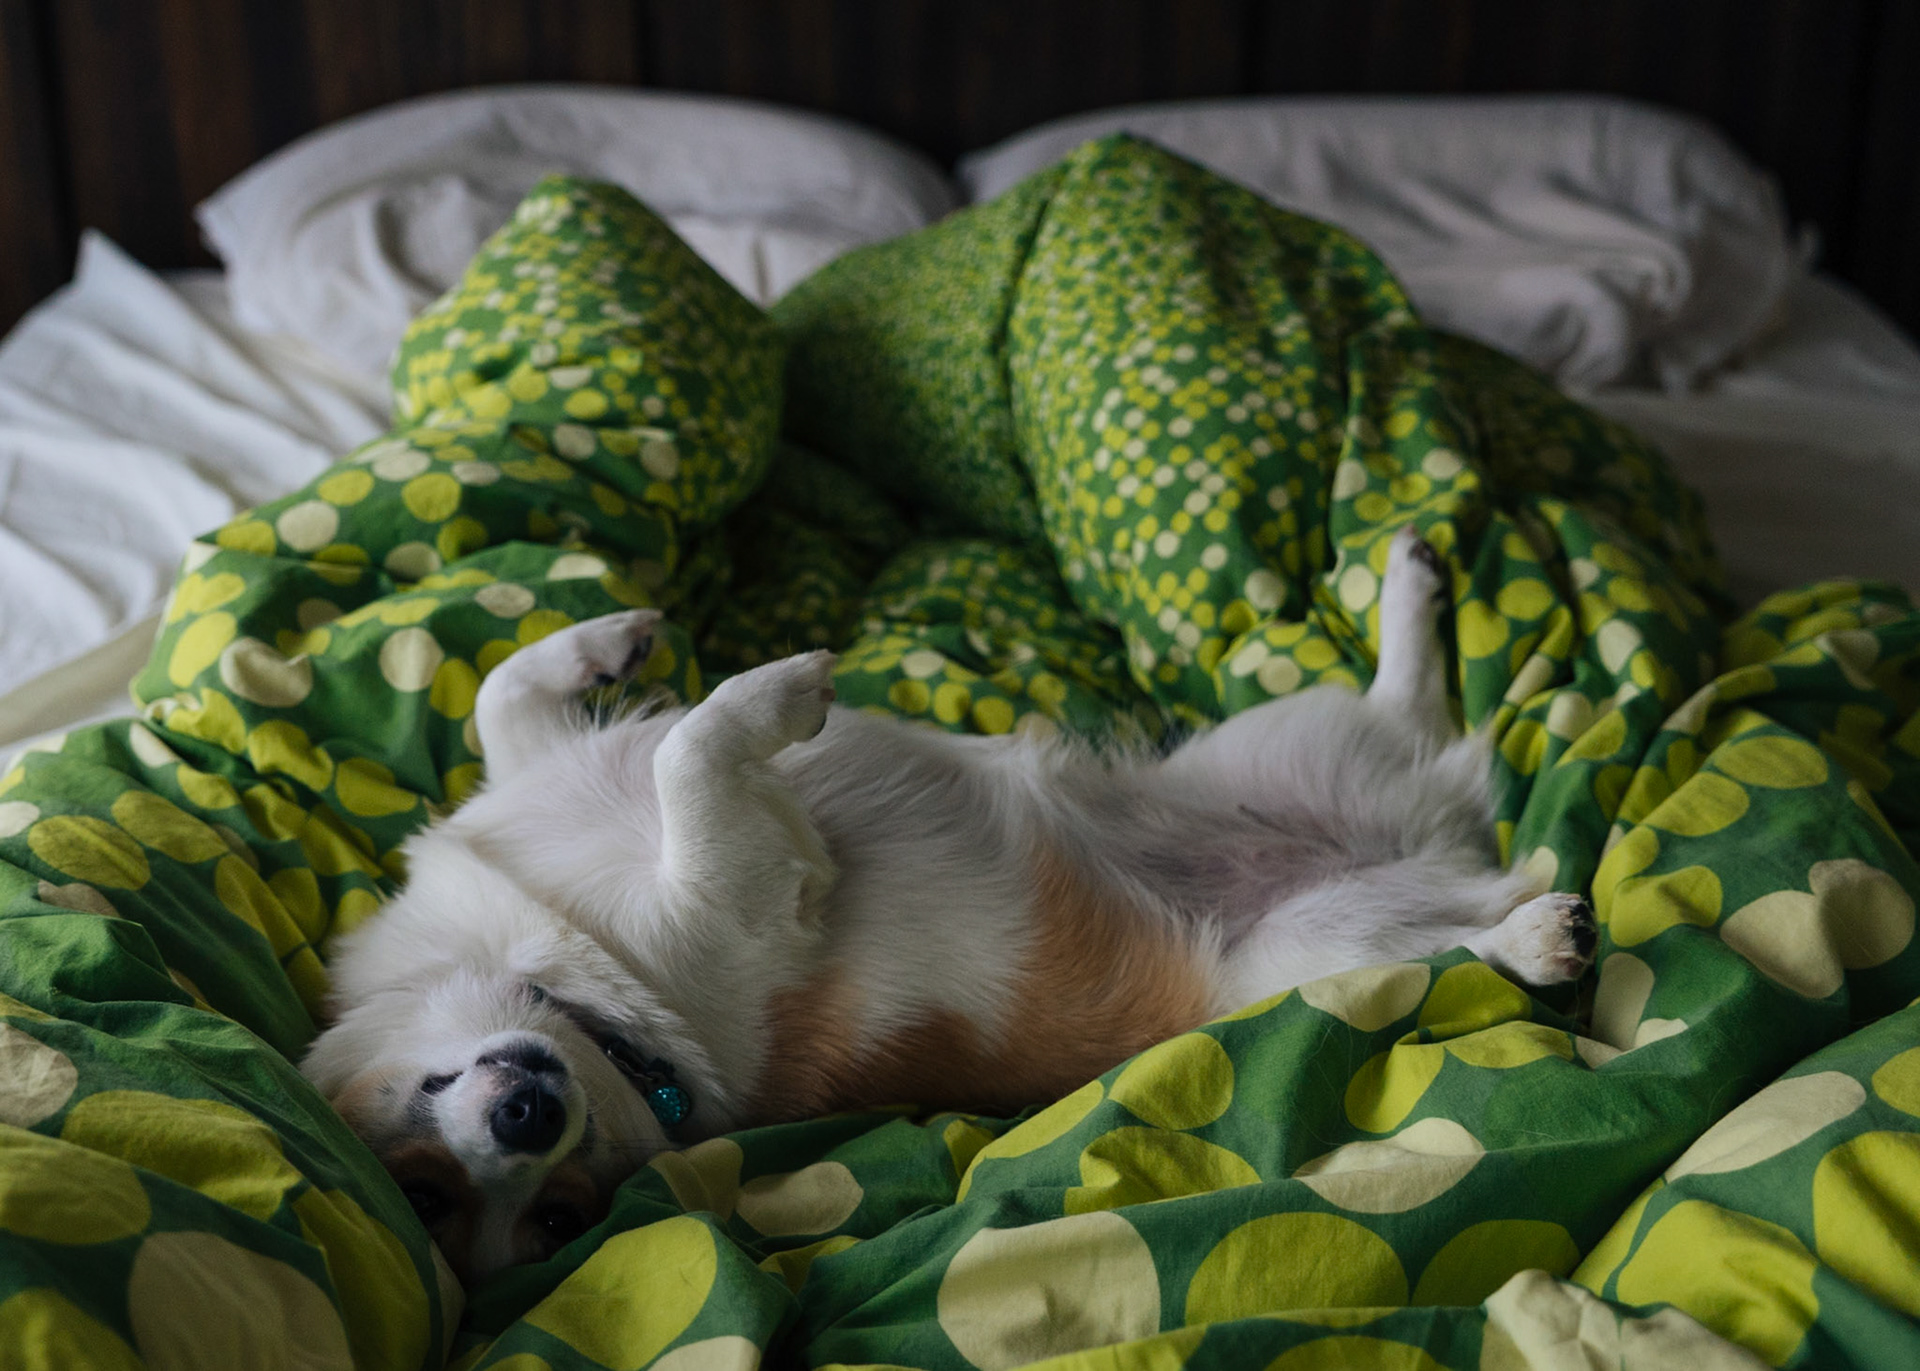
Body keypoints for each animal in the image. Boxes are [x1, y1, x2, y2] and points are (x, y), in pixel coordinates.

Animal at [301, 526, 1596, 1281]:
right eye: (550, 1220)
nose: (528, 1121)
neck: (576, 1005)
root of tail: (1438, 845)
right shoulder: (737, 892)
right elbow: (695, 758)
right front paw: (784, 689)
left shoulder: (534, 774)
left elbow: (512, 696)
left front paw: (616, 638)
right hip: (1312, 951)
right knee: (1452, 933)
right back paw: (1541, 934)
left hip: (1278, 744)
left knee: (1408, 707)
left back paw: (1413, 586)